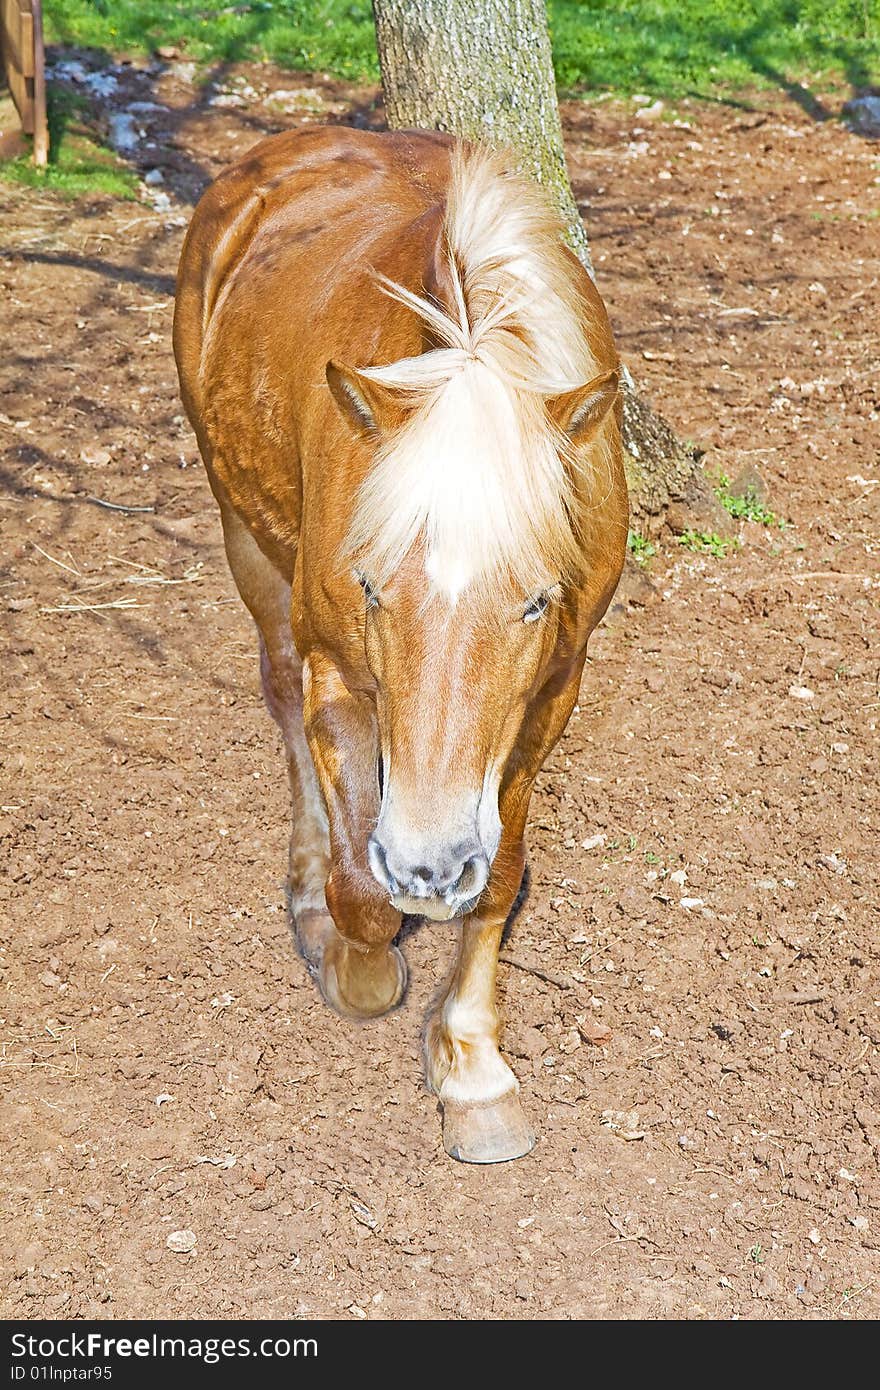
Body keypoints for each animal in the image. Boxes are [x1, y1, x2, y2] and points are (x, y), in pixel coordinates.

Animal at [171, 127, 628, 1162]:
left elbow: (499, 876)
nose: (429, 862)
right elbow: (364, 895)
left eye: (536, 601)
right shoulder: (340, 671)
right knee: (282, 707)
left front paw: (474, 1067)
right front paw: (360, 963)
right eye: (374, 586)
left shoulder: (555, 689)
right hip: (241, 527)